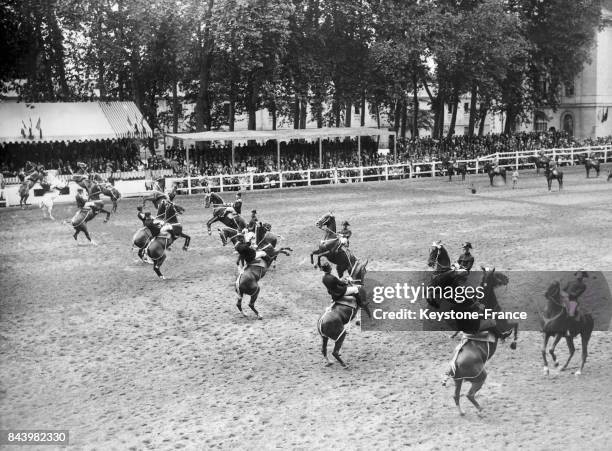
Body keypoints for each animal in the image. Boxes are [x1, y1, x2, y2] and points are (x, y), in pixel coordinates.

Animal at [442, 266, 520, 418]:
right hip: (479, 377)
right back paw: (480, 410)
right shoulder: (505, 325)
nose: (507, 278)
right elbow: (515, 325)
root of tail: (455, 363)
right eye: (496, 275)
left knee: (456, 396)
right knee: (469, 395)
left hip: (458, 381)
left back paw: (462, 412)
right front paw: (513, 343)